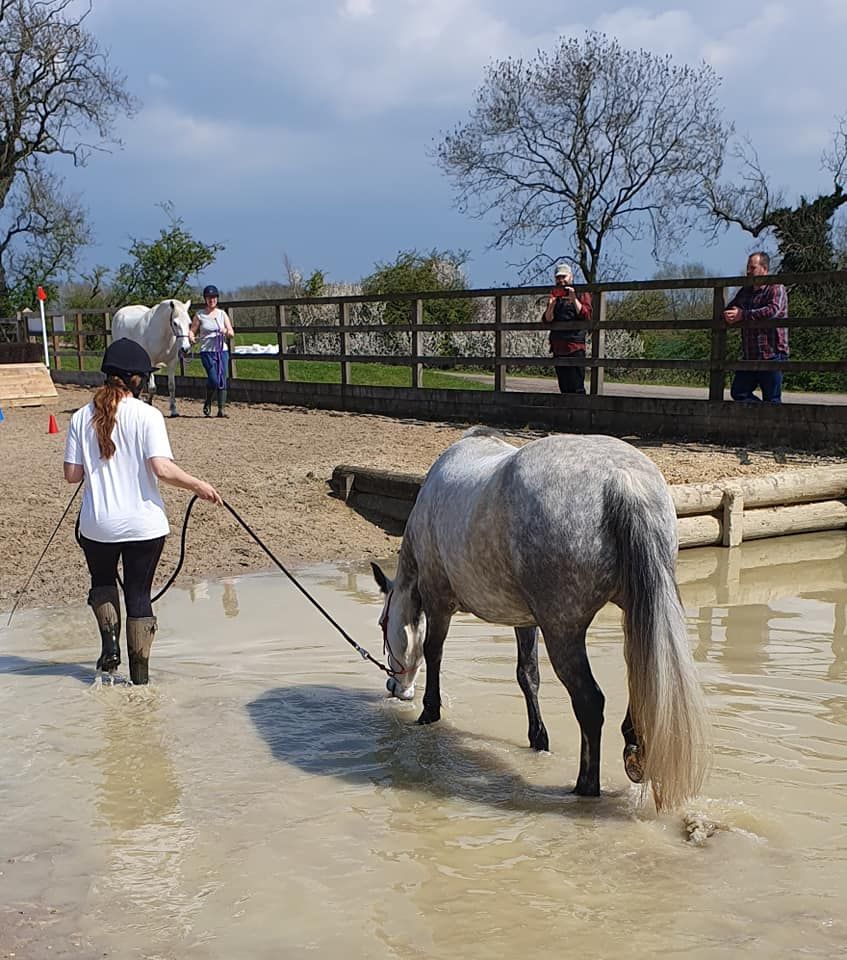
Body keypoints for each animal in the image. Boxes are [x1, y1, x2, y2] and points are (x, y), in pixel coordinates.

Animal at [374, 428, 712, 808]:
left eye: (383, 626)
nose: (394, 687)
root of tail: (621, 480)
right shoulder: (525, 619)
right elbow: (528, 675)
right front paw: (538, 738)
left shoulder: (437, 601)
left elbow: (433, 653)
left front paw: (429, 712)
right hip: (635, 614)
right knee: (638, 677)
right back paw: (633, 749)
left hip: (563, 630)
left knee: (590, 701)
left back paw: (585, 787)